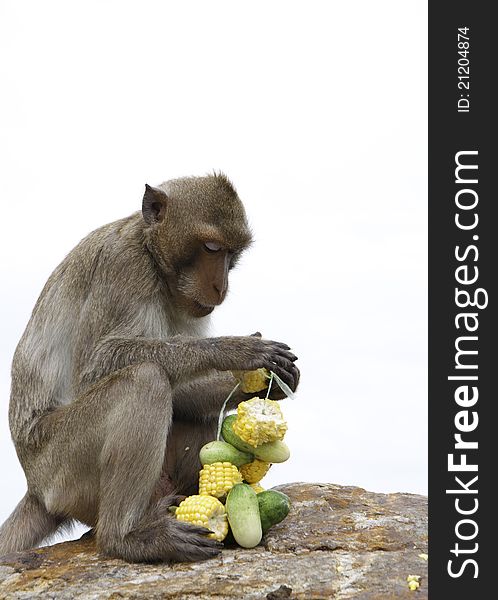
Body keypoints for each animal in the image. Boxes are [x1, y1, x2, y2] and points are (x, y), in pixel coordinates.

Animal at [0, 172, 300, 564]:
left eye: (232, 254)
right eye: (211, 248)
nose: (221, 287)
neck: (153, 258)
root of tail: (35, 488)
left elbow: (182, 389)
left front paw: (269, 385)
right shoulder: (123, 265)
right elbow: (96, 365)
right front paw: (235, 350)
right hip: (60, 471)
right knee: (144, 380)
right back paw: (127, 538)